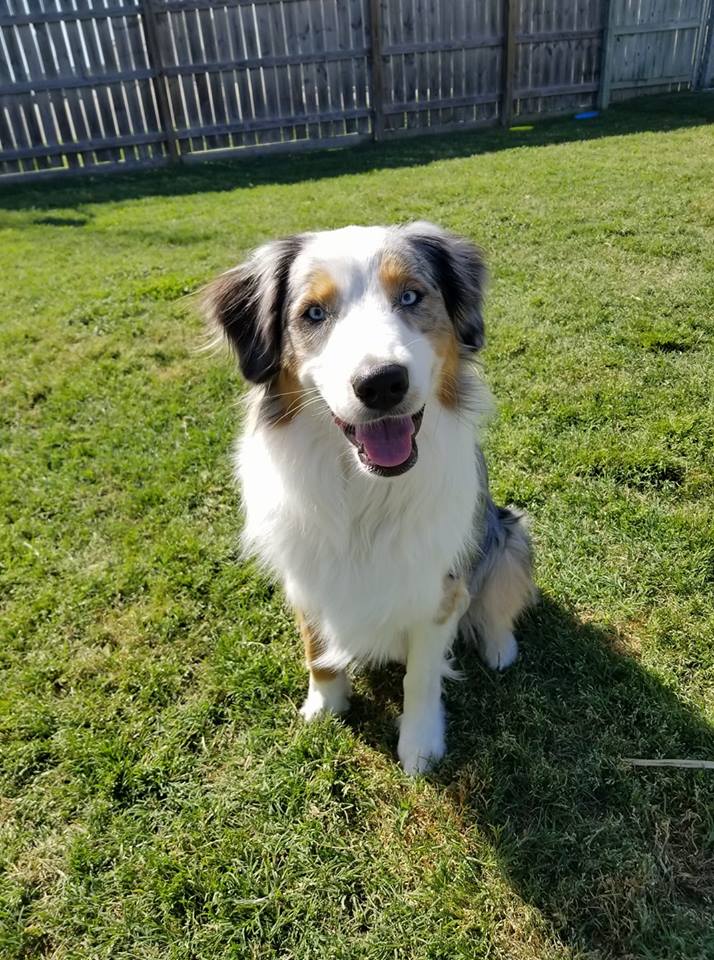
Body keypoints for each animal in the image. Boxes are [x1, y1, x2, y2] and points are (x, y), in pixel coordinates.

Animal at [205, 222, 534, 774]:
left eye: (411, 296)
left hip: (509, 534)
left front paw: (420, 747)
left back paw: (499, 648)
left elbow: (420, 677)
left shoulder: (438, 590)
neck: (364, 490)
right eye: (314, 313)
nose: (381, 383)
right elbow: (315, 648)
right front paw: (325, 707)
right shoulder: (306, 574)